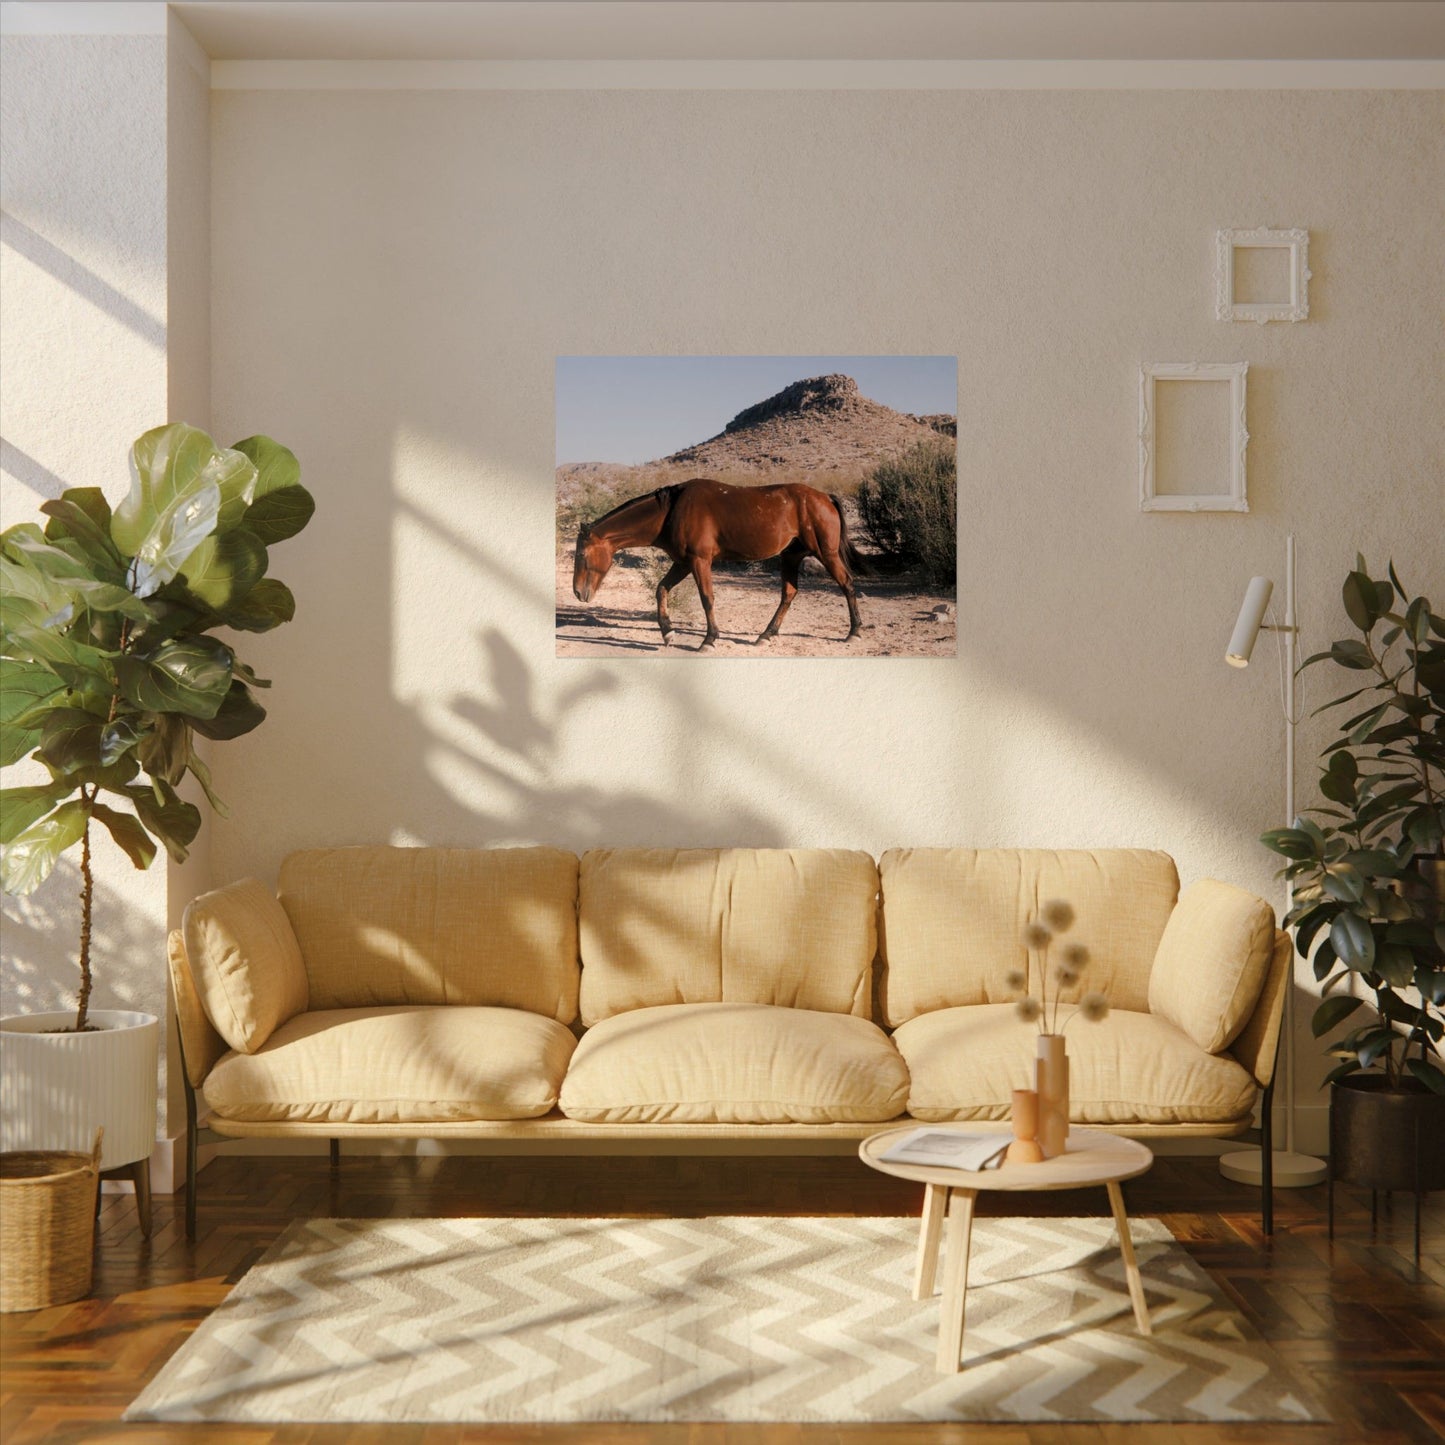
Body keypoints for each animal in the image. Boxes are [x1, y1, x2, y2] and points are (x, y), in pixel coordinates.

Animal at [572, 478, 866, 650]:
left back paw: (854, 632)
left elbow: (707, 598)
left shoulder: (699, 561)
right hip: (791, 557)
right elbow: (661, 590)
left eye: (582, 555)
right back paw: (766, 635)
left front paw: (709, 639)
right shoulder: (683, 563)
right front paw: (668, 632)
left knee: (847, 584)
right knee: (789, 594)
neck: (671, 511)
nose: (577, 592)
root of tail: (825, 497)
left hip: (825, 553)